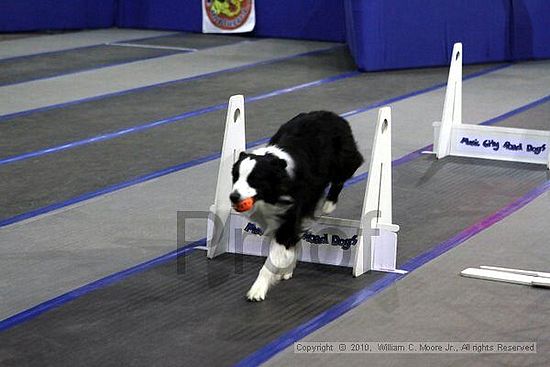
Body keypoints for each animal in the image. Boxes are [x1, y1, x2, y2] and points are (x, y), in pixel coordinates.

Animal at [231, 112, 364, 302]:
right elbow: (288, 246)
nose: (233, 196)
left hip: (343, 157)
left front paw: (257, 290)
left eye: (253, 179)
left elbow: (272, 259)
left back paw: (329, 204)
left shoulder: (288, 220)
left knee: (345, 172)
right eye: (235, 176)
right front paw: (286, 268)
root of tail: (332, 114)